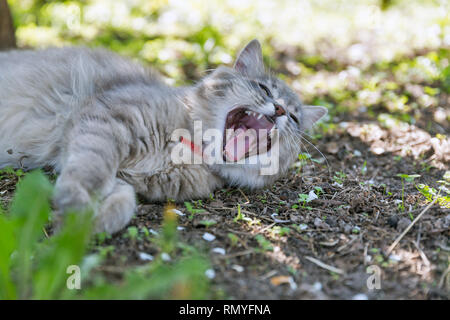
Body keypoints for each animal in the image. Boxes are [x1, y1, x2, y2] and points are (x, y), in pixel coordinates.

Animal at [0, 41, 328, 234]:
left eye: (295, 118)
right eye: (264, 89)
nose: (280, 109)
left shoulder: (124, 177)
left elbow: (123, 203)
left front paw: (82, 226)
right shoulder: (105, 125)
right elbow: (89, 172)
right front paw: (75, 205)